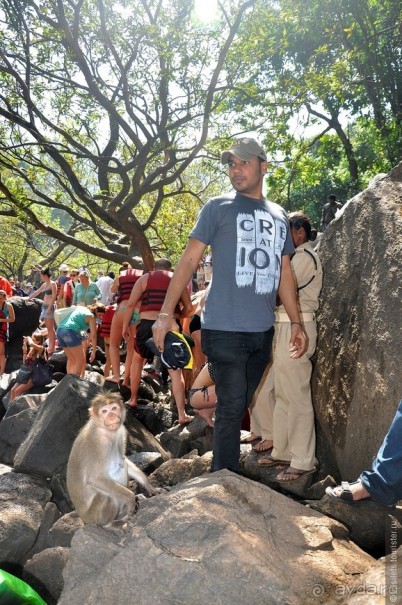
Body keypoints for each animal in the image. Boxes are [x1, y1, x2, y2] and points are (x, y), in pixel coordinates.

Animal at [66, 390, 163, 528]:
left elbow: (123, 459)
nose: (111, 417)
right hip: (93, 517)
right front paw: (131, 499)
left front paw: (150, 487)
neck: (106, 431)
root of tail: (84, 519)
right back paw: (111, 524)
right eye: (104, 411)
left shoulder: (121, 431)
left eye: (113, 408)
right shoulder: (97, 444)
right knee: (107, 496)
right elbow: (95, 479)